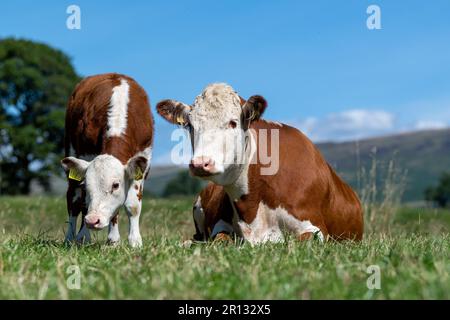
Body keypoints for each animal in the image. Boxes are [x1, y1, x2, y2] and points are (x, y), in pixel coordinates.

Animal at [60, 73, 154, 248]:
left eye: (116, 185)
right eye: (86, 184)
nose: (92, 220)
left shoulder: (144, 159)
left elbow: (133, 205)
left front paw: (133, 241)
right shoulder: (86, 154)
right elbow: (83, 202)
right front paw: (84, 237)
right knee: (74, 202)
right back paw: (71, 238)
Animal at [156, 83, 364, 245]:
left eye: (233, 123)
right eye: (190, 126)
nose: (200, 163)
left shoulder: (315, 228)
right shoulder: (220, 225)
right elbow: (220, 240)